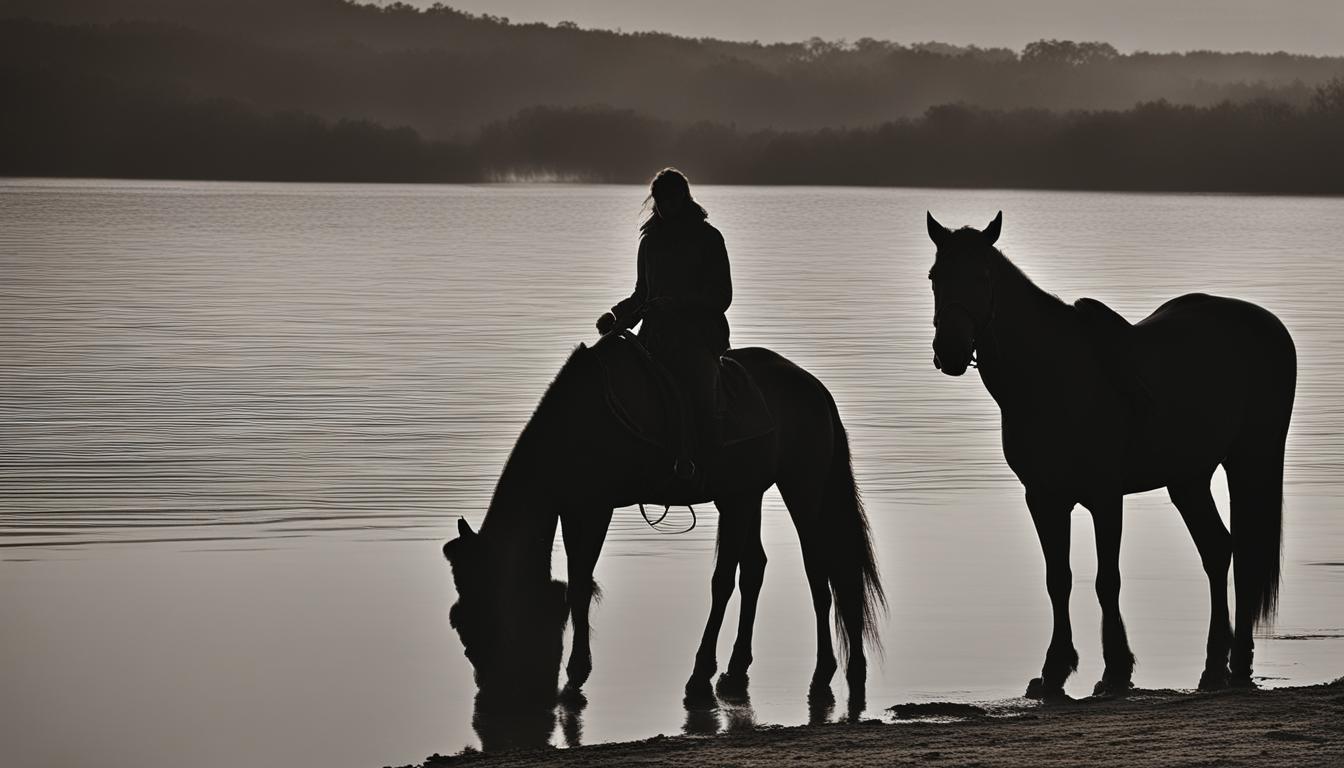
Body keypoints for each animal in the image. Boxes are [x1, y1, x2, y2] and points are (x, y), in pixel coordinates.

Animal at [440, 317, 881, 710]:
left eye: (471, 617)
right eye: (457, 620)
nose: (488, 687)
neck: (577, 424)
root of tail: (815, 387)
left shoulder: (595, 508)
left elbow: (581, 586)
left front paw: (577, 673)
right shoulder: (572, 509)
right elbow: (576, 583)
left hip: (801, 487)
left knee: (812, 569)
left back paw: (810, 670)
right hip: (743, 494)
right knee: (754, 568)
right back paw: (737, 668)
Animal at [930, 209, 1295, 699]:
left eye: (982, 276)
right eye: (935, 277)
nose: (949, 351)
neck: (1052, 378)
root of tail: (1267, 324)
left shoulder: (1105, 497)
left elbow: (1108, 580)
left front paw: (1117, 668)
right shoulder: (1043, 498)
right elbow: (1058, 579)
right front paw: (1054, 669)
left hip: (1250, 461)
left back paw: (1236, 659)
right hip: (1189, 477)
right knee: (1218, 549)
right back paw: (1217, 660)